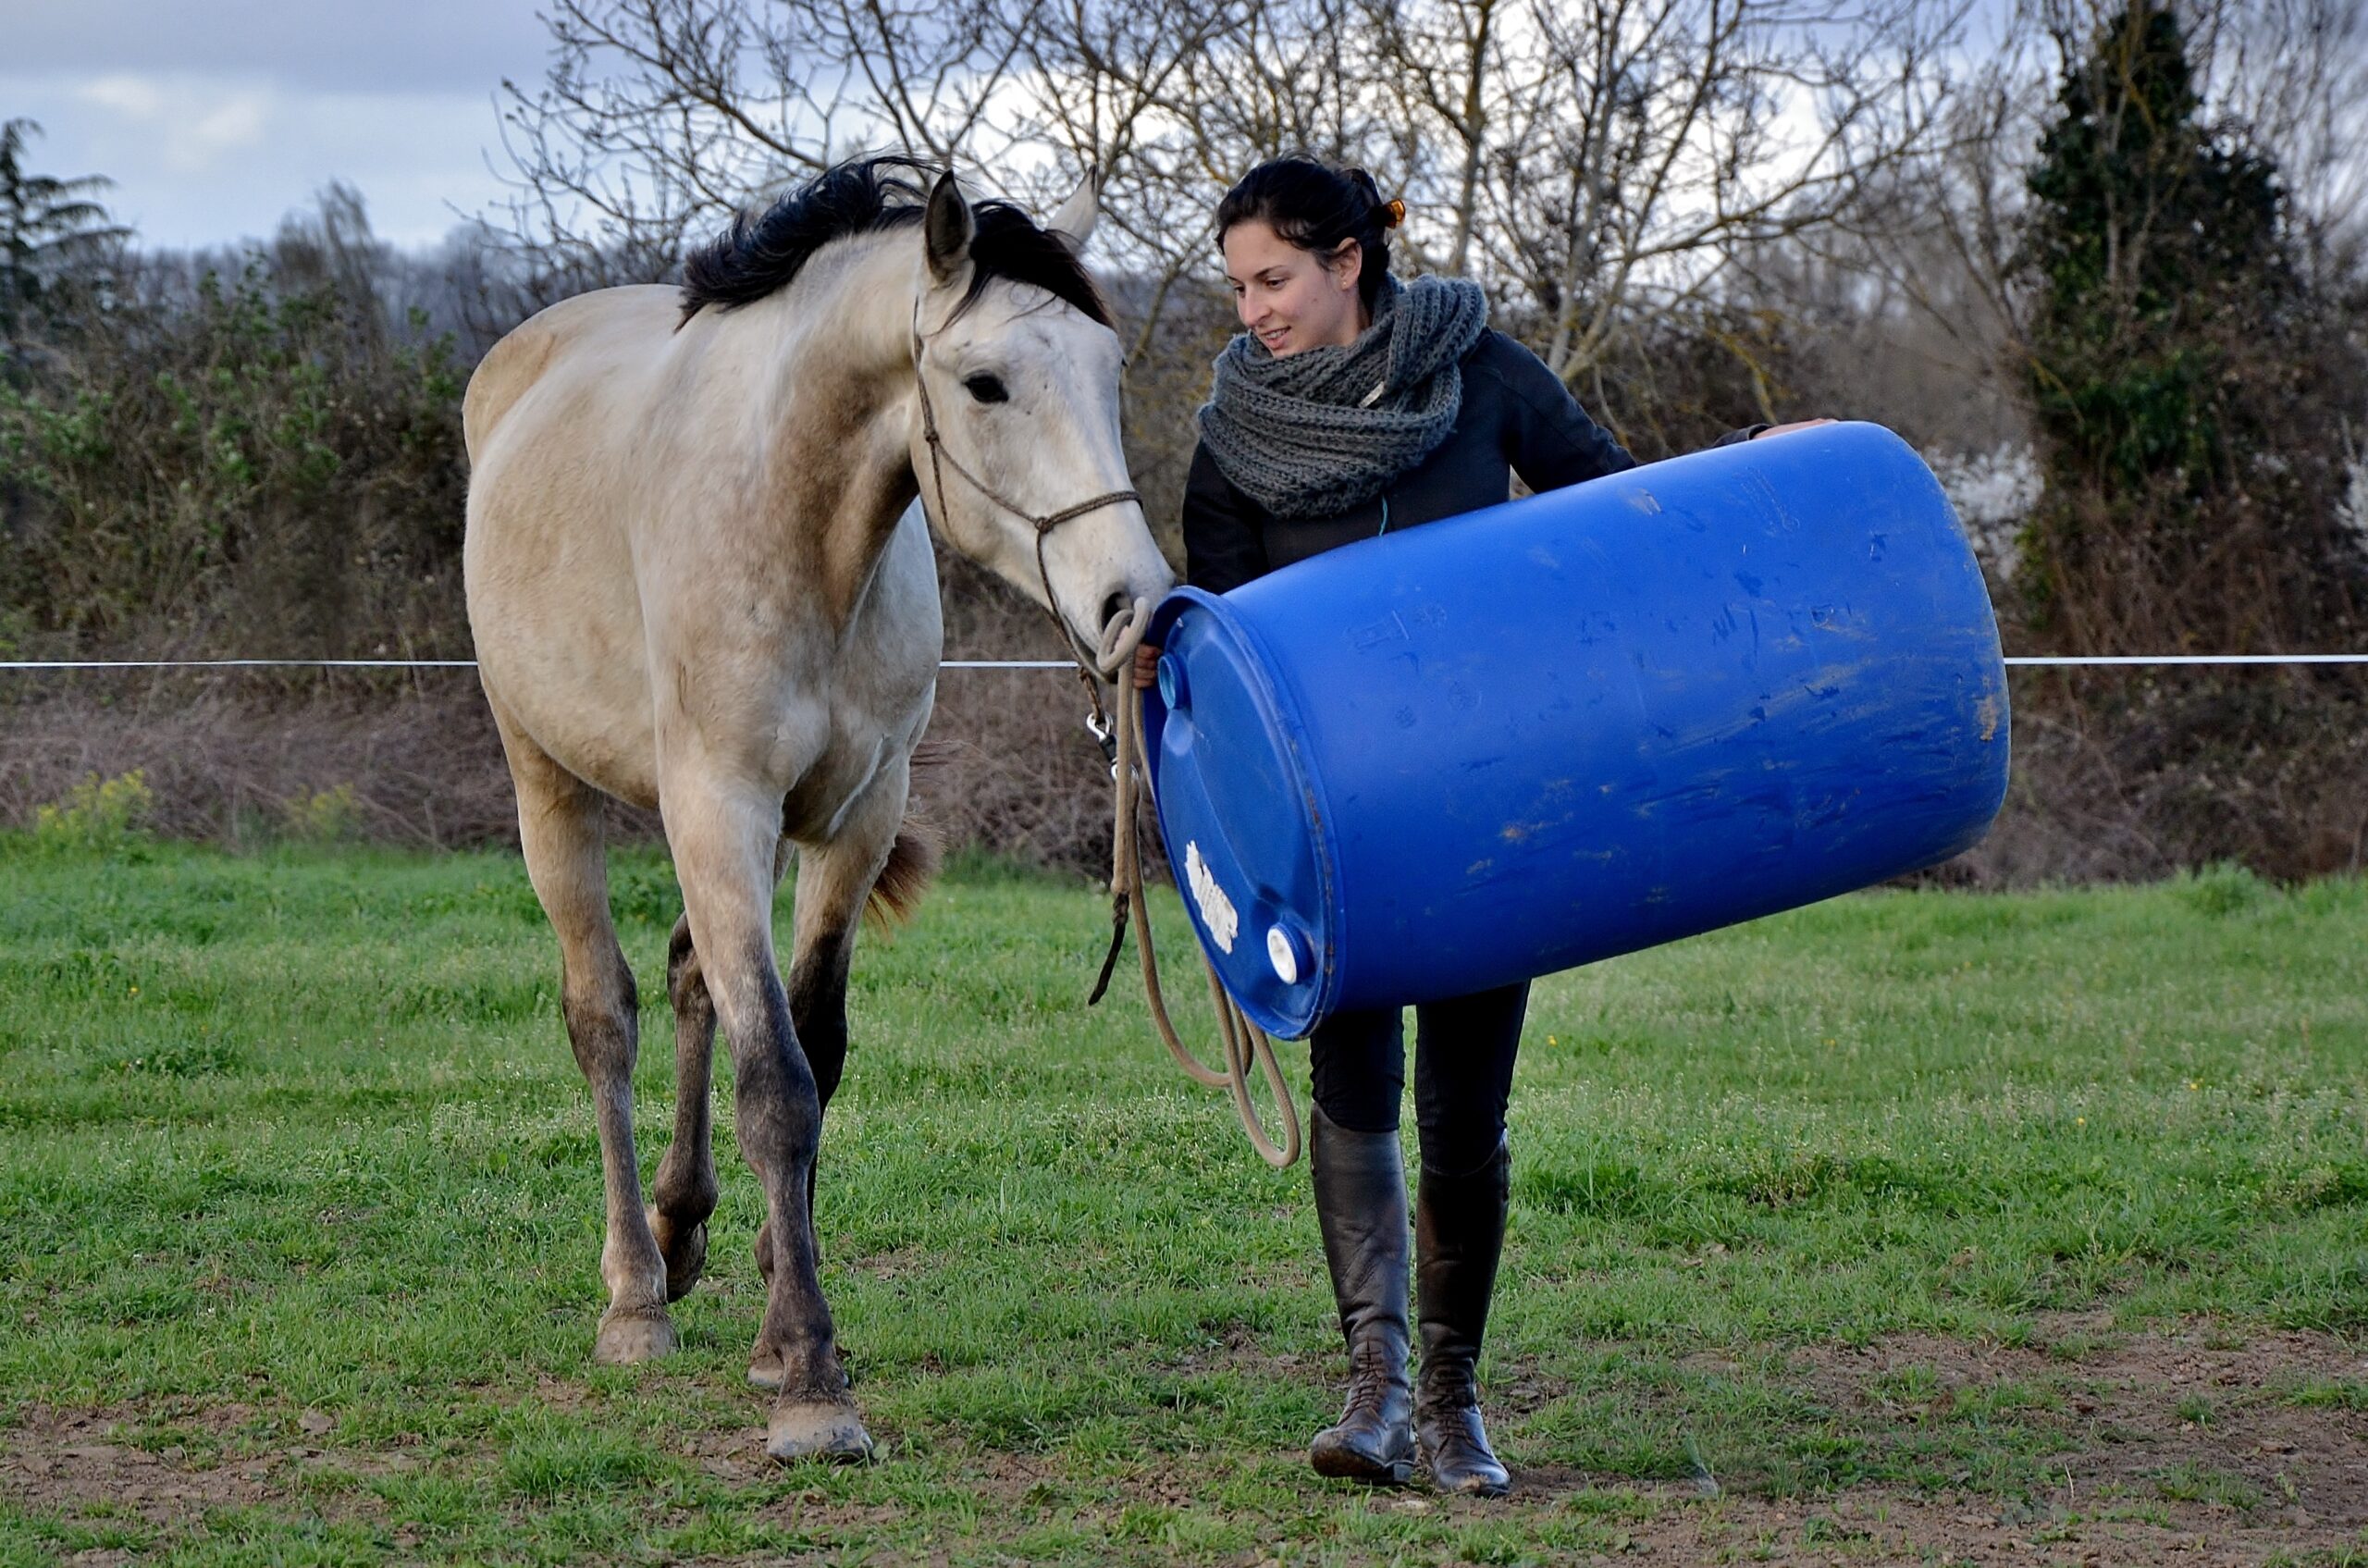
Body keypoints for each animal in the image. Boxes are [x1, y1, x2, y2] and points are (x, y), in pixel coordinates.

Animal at [457, 155, 1169, 1459]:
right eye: (984, 383)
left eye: (1107, 372)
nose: (1129, 605)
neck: (791, 524)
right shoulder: (718, 806)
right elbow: (776, 1087)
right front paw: (809, 1380)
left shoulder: (853, 819)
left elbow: (815, 1052)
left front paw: (774, 1309)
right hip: (551, 786)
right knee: (605, 1015)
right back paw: (636, 1294)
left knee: (690, 981)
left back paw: (684, 1229)